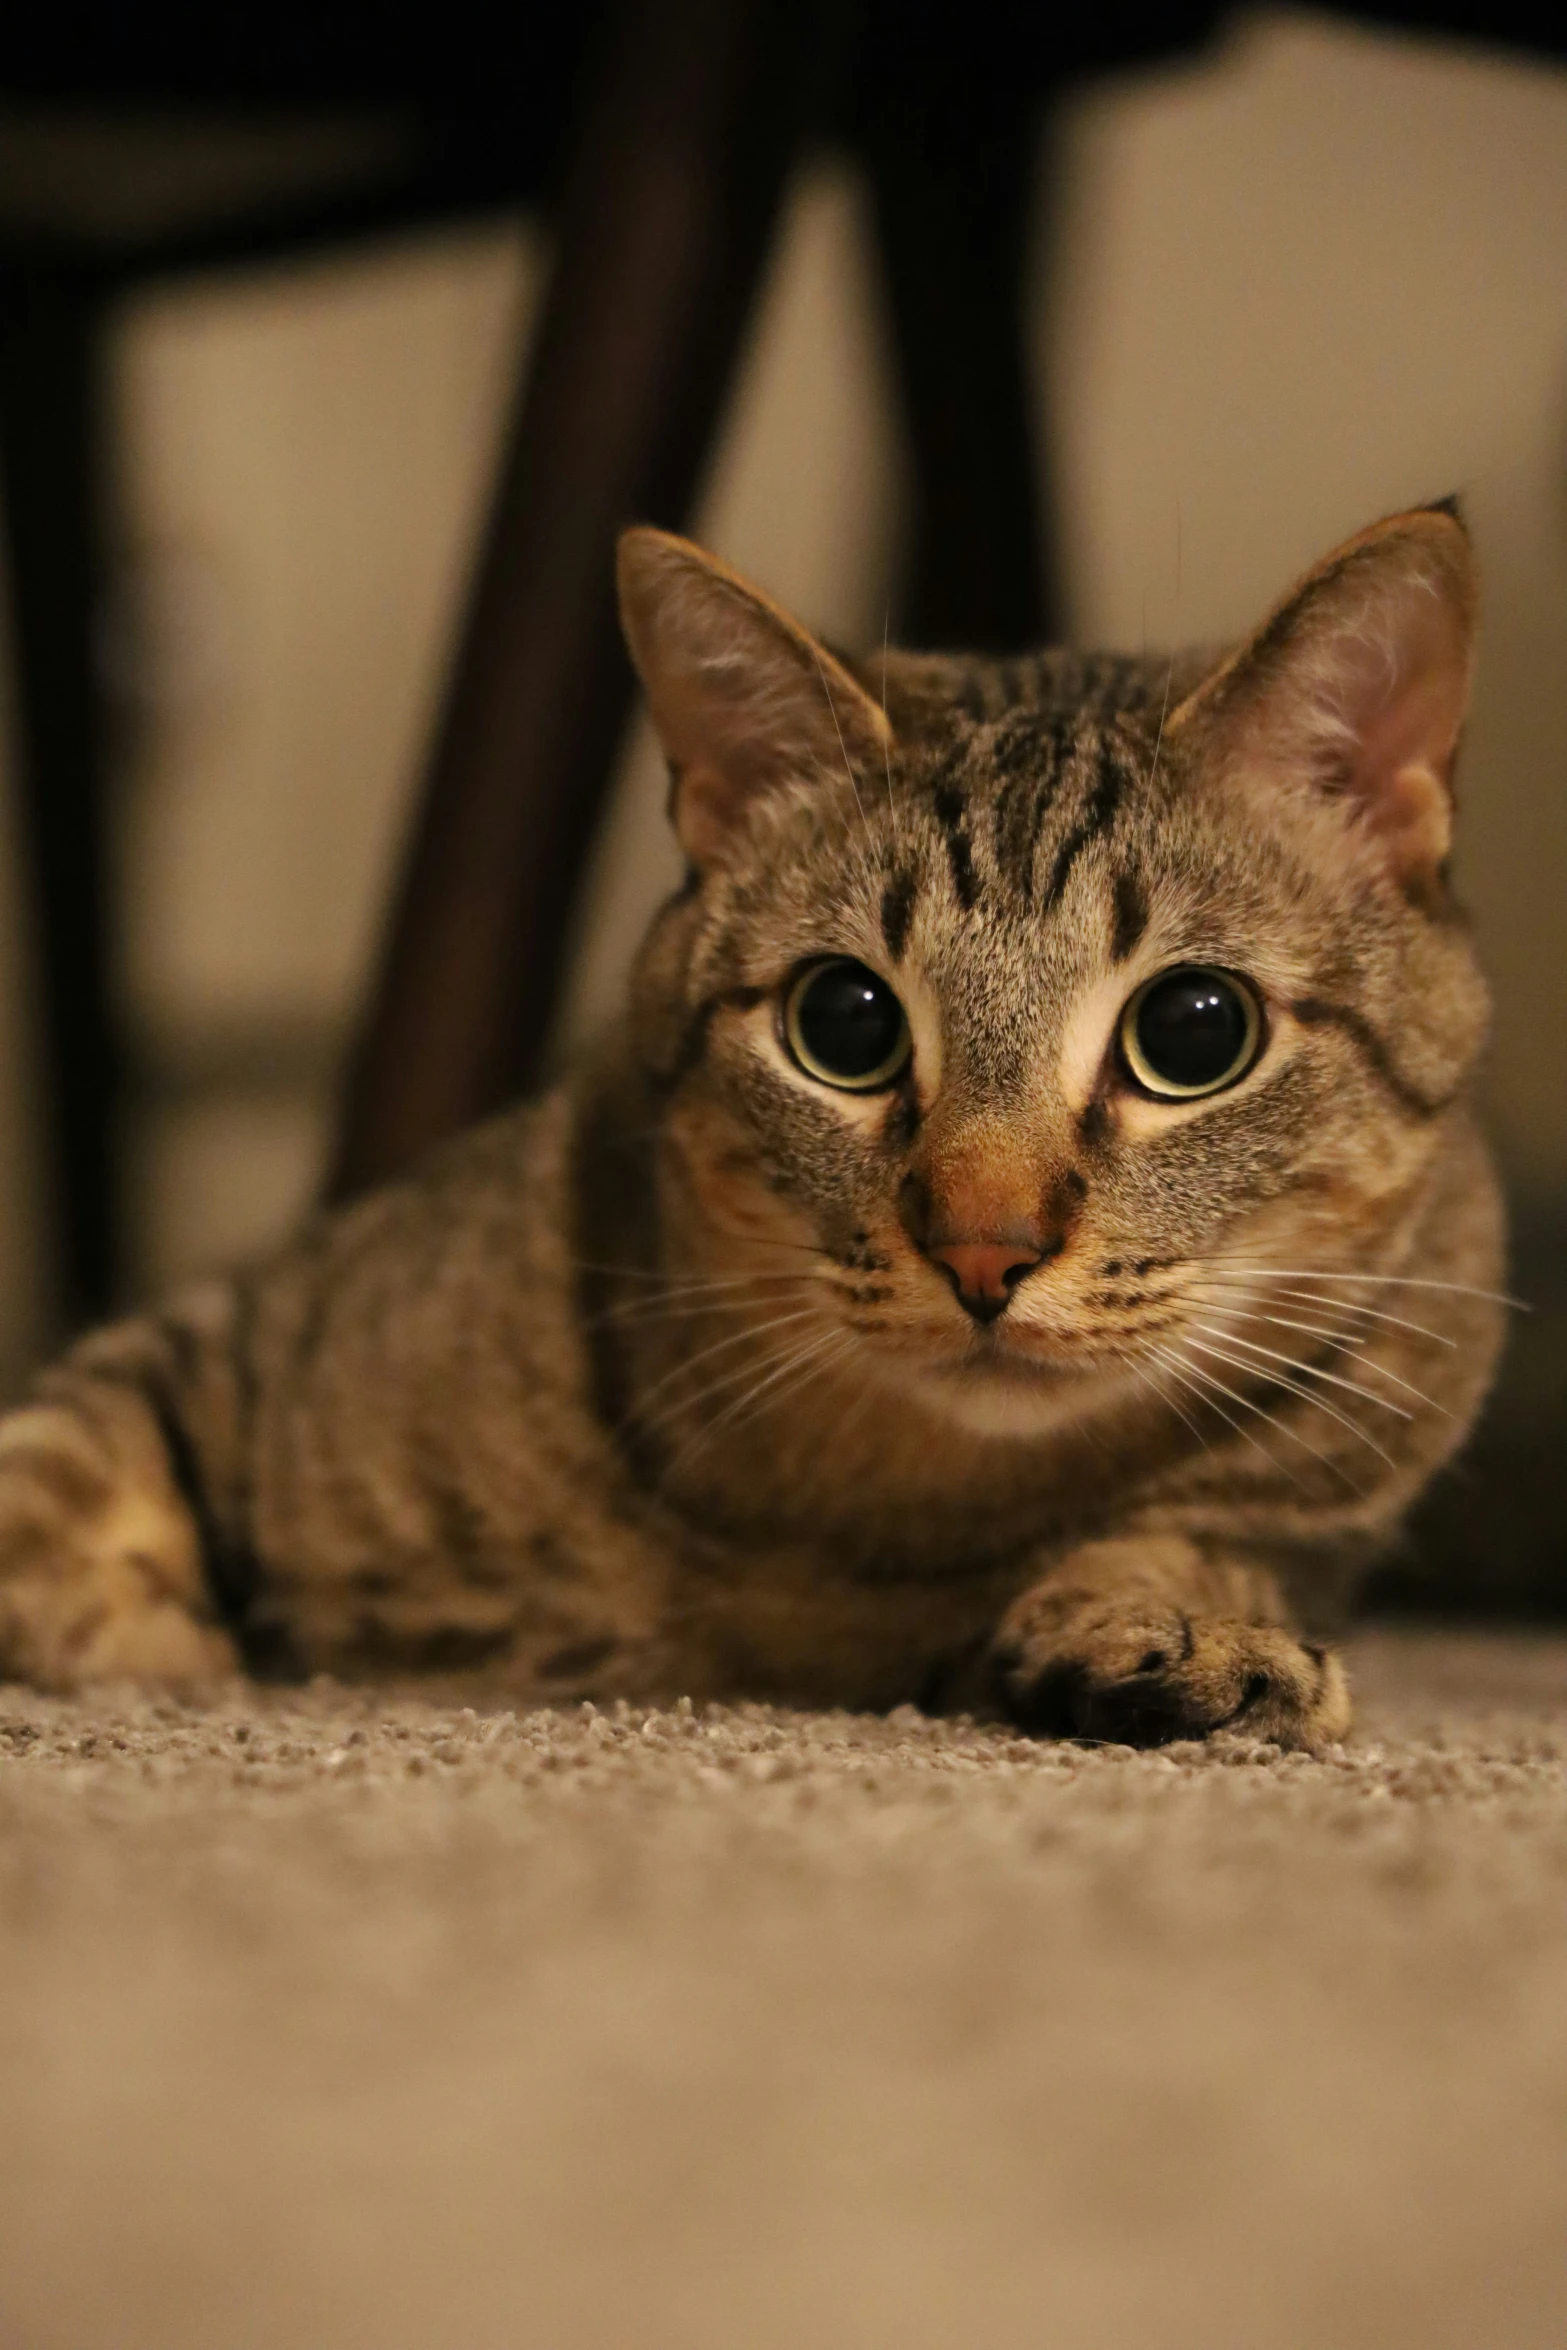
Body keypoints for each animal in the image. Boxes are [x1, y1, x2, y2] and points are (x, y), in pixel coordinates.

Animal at [0, 500, 1503, 1748]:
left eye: (1192, 1030)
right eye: (844, 1021)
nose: (983, 1248)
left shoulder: (1332, 1478)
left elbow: (1185, 1543)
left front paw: (1174, 1635)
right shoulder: (241, 1334)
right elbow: (49, 1480)